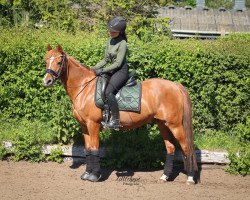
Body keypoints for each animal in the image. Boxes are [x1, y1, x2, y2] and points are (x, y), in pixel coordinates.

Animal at [43, 45, 197, 184]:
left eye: (59, 62)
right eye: (46, 61)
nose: (46, 81)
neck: (85, 87)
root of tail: (175, 85)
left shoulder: (93, 125)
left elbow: (94, 148)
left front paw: (95, 175)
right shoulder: (84, 126)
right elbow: (88, 149)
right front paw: (87, 173)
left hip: (175, 125)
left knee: (186, 148)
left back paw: (190, 178)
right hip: (163, 124)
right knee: (170, 148)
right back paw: (165, 177)